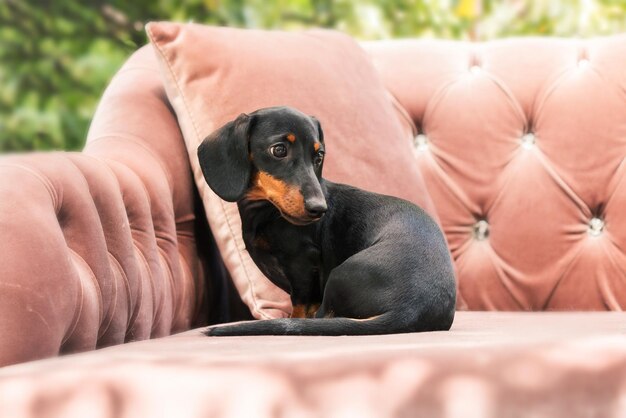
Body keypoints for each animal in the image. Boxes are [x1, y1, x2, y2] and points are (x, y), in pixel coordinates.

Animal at [197, 106, 456, 334]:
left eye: (318, 155)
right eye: (279, 150)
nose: (319, 208)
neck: (267, 213)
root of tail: (410, 309)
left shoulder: (302, 265)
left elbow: (301, 308)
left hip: (339, 276)